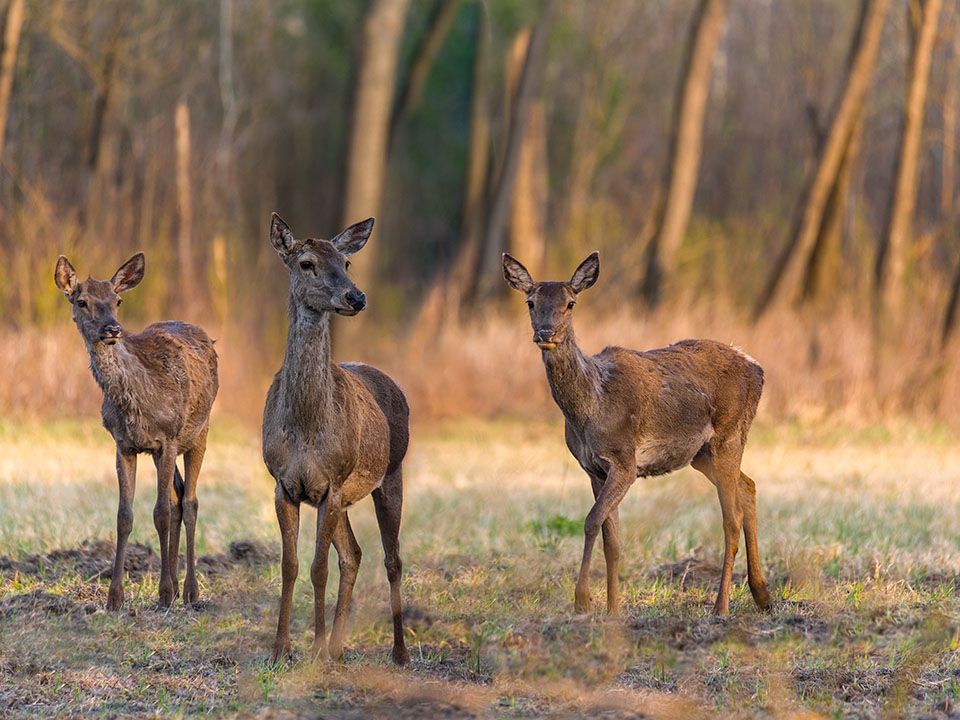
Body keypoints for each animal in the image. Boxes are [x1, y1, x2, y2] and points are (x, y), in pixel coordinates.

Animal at [54, 253, 219, 608]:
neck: (137, 402)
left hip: (199, 432)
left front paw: (164, 594)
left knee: (190, 502)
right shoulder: (124, 444)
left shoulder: (168, 438)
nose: (112, 329)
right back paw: (176, 586)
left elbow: (160, 513)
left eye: (118, 300)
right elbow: (124, 516)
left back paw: (189, 591)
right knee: (178, 497)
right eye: (82, 301)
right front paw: (114, 599)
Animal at [262, 214, 412, 664]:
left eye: (347, 262)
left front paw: (312, 649)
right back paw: (339, 647)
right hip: (347, 495)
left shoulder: (331, 484)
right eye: (306, 263)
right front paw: (280, 650)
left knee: (392, 559)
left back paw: (399, 652)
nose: (356, 296)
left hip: (390, 472)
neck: (306, 427)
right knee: (354, 554)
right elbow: (291, 565)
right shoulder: (284, 484)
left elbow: (318, 567)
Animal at [502, 253, 772, 620]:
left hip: (729, 433)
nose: (546, 332)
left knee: (731, 519)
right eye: (530, 302)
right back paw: (763, 595)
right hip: (701, 454)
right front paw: (613, 609)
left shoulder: (624, 460)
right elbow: (611, 538)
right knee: (749, 487)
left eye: (570, 303)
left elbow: (590, 521)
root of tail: (758, 368)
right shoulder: (593, 468)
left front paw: (583, 601)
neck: (591, 406)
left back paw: (721, 607)